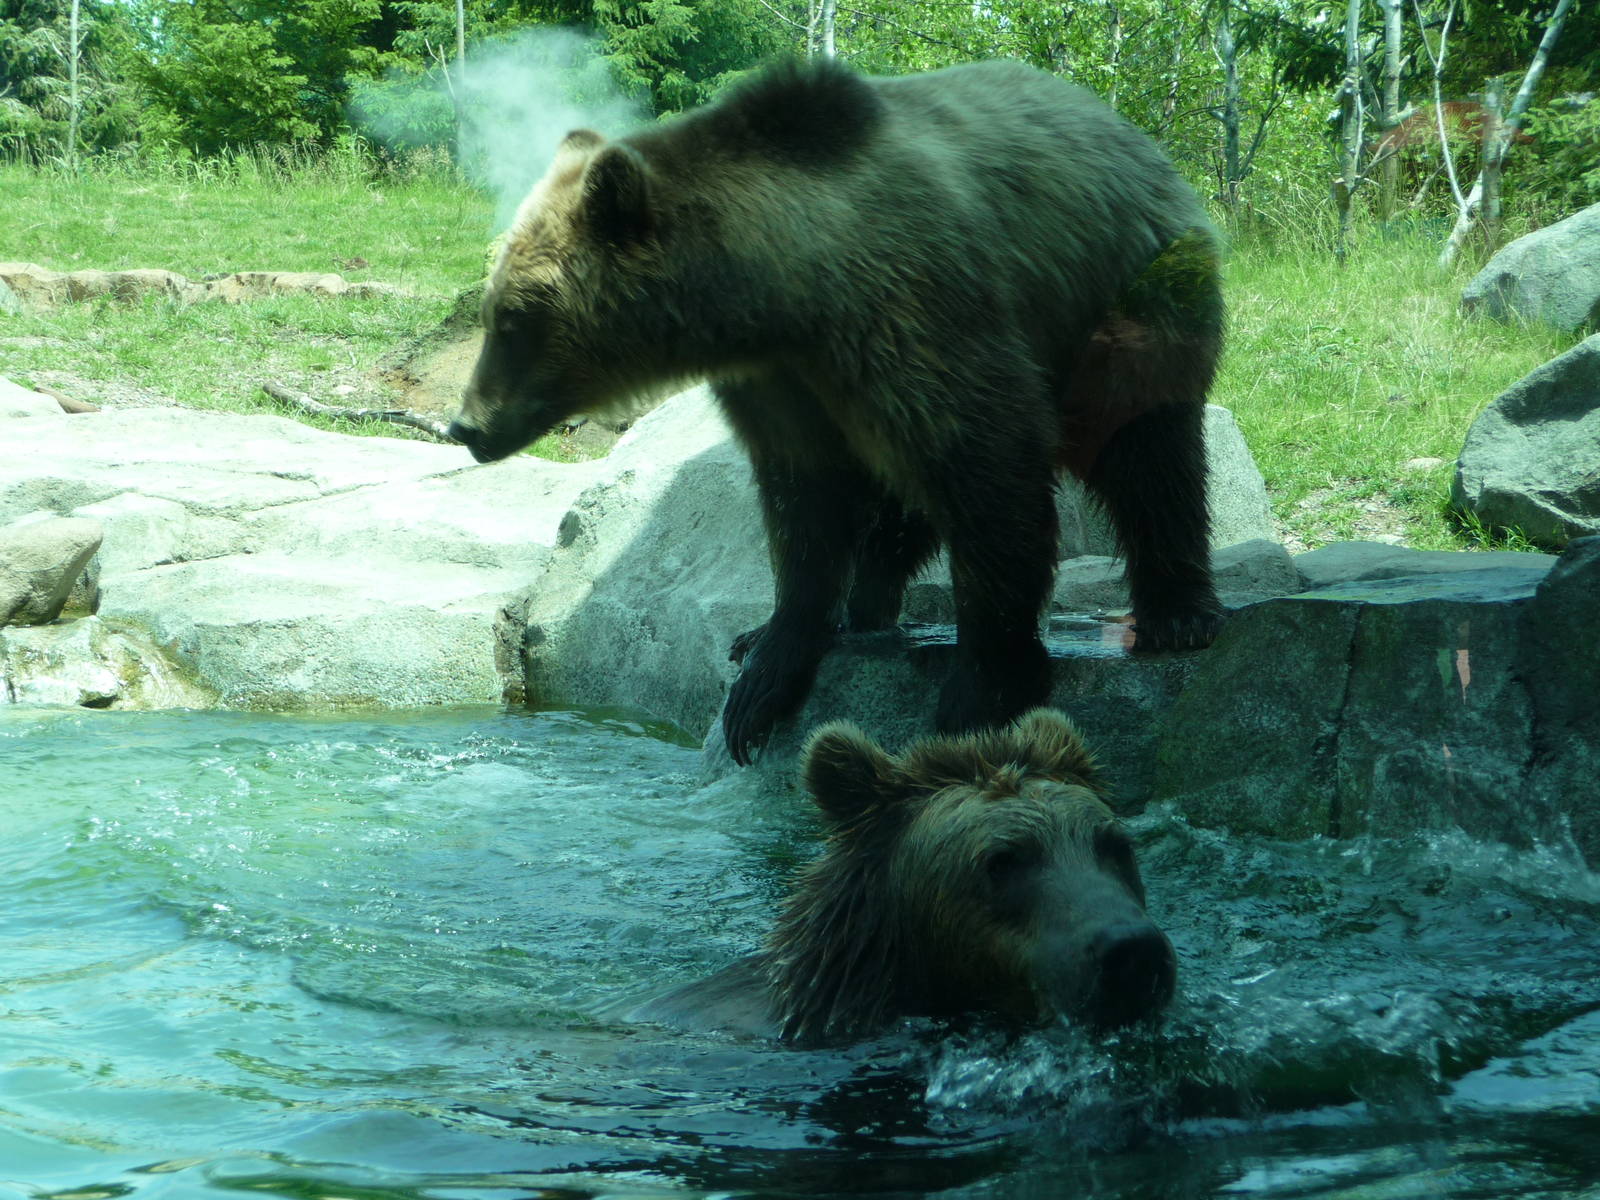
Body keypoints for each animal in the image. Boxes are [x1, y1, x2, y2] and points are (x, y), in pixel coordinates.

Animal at [449, 58, 1225, 765]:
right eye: (495, 311)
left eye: (512, 320)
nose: (467, 426)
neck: (782, 294)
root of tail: (1132, 136)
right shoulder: (782, 383)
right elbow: (803, 507)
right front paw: (767, 662)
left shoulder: (915, 310)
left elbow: (988, 466)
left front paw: (982, 686)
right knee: (902, 508)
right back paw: (865, 604)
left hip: (1125, 304)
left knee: (1151, 455)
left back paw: (1178, 613)